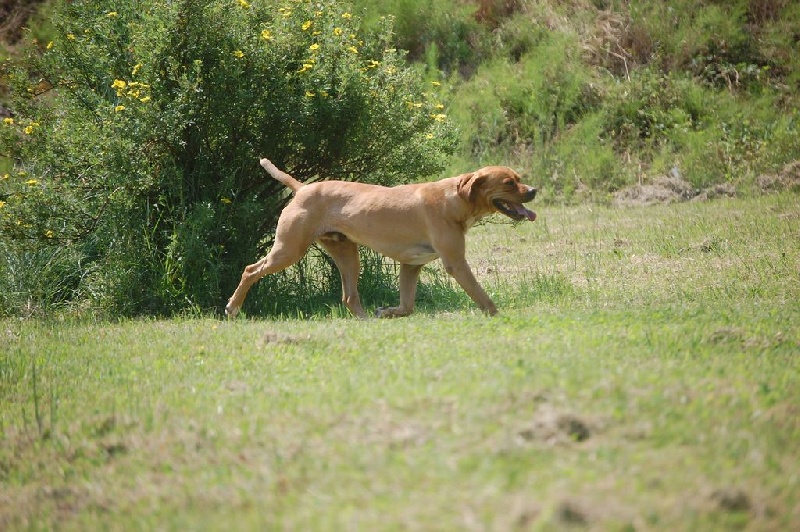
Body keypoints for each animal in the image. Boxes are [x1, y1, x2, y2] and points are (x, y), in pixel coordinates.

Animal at [225, 157, 536, 316]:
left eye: (520, 178)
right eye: (509, 183)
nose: (533, 191)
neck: (455, 199)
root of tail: (302, 188)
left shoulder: (411, 265)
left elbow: (407, 306)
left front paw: (387, 311)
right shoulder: (456, 263)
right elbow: (481, 295)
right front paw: (497, 314)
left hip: (347, 255)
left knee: (349, 297)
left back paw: (366, 321)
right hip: (288, 250)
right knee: (250, 270)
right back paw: (233, 307)